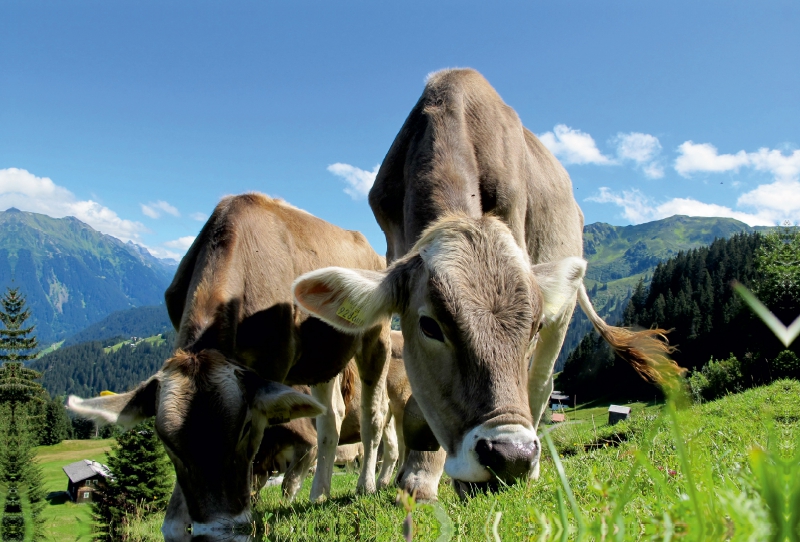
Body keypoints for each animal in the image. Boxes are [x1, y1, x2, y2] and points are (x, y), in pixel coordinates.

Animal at [66, 194, 390, 536]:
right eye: (165, 441)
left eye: (246, 427)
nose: (220, 530)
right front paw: (179, 523)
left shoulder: (272, 367)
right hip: (322, 359)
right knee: (332, 417)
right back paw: (319, 494)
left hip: (376, 336)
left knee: (374, 413)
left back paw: (367, 485)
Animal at [290, 69, 680, 502]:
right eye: (430, 326)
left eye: (533, 327)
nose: (511, 456)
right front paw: (419, 476)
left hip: (563, 313)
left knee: (541, 383)